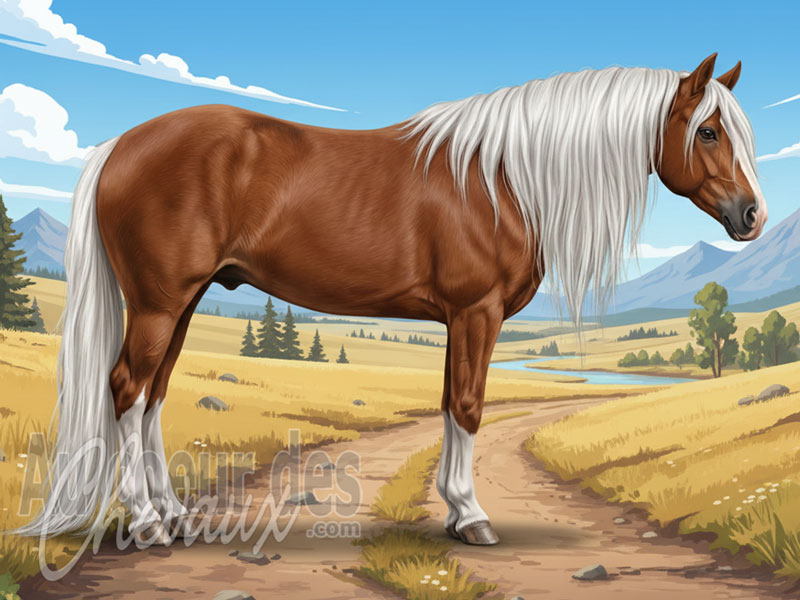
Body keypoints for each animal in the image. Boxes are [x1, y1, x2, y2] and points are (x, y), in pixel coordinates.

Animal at [19, 53, 766, 547]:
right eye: (706, 131)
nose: (753, 216)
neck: (504, 179)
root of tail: (121, 145)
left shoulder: (458, 319)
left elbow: (449, 404)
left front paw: (456, 510)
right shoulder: (476, 312)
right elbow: (469, 406)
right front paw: (471, 518)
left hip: (182, 302)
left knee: (152, 397)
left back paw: (173, 516)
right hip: (158, 303)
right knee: (126, 390)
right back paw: (146, 523)